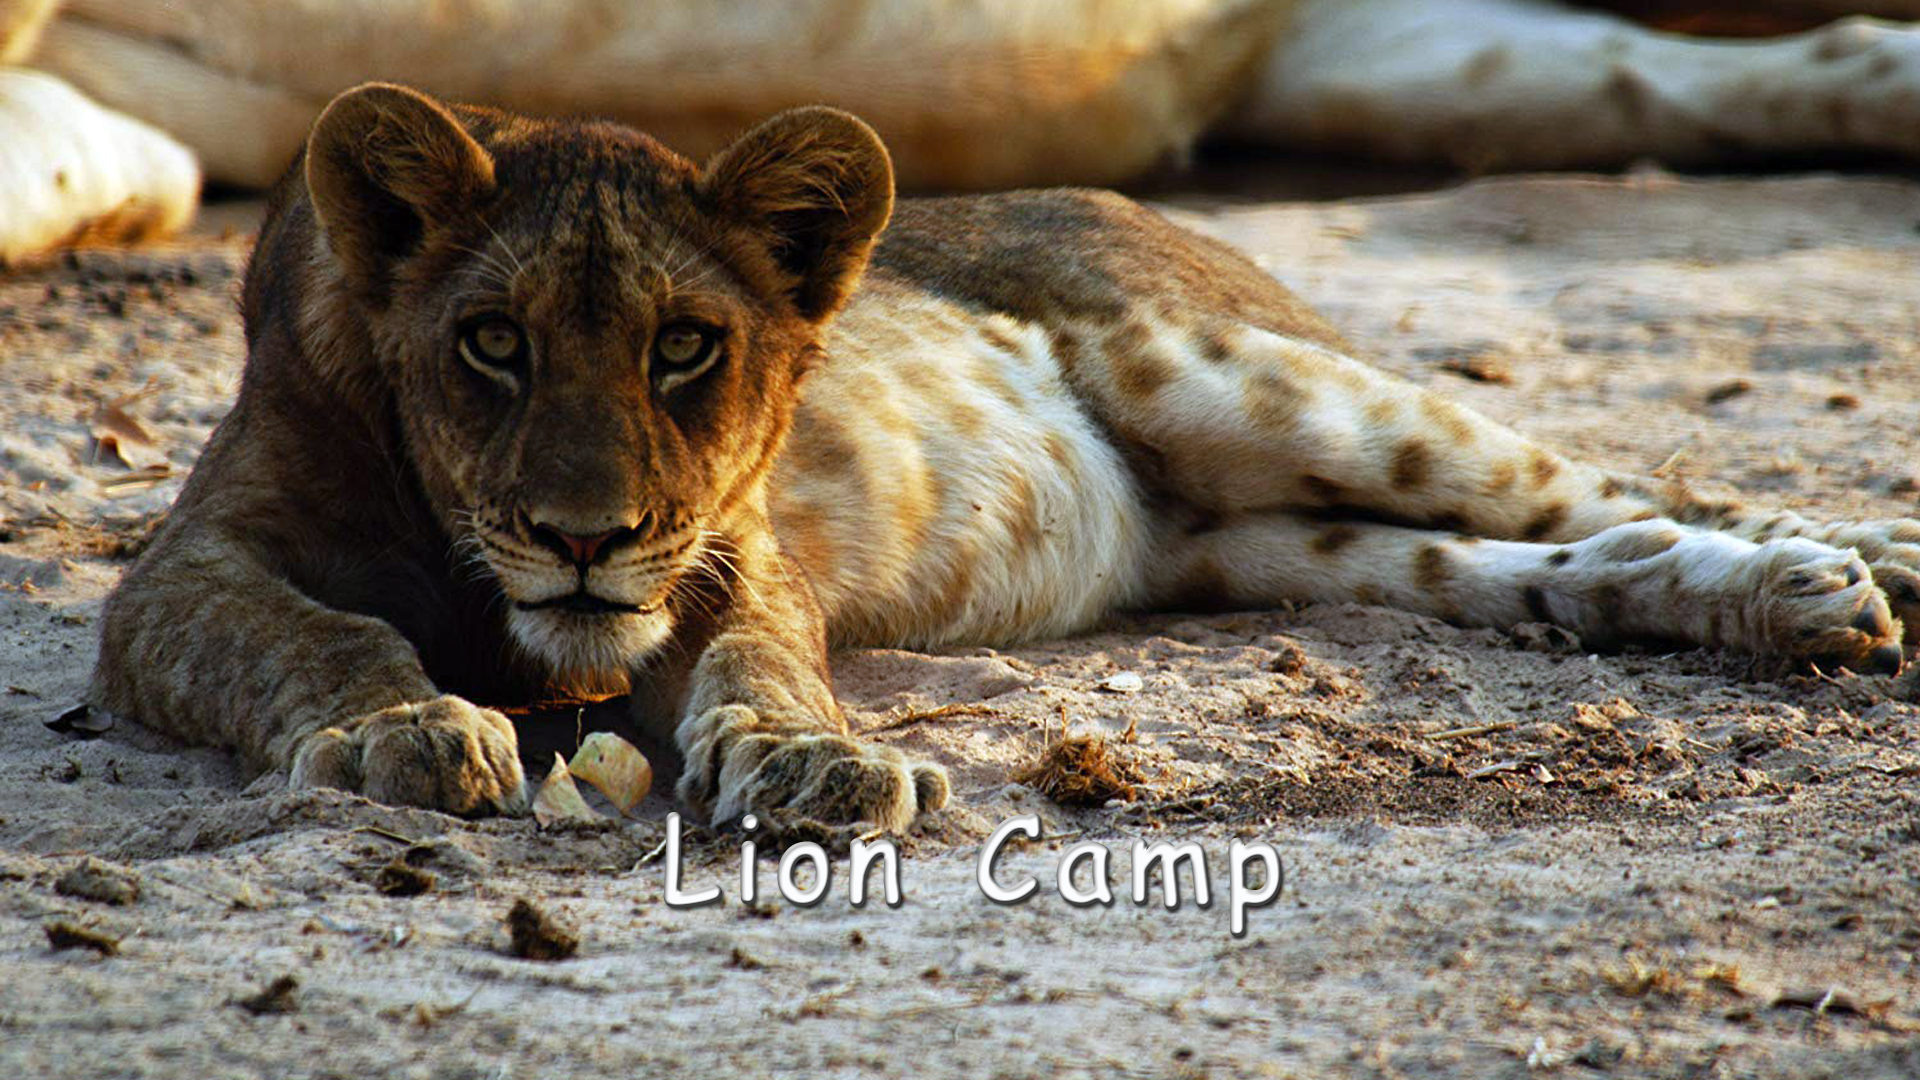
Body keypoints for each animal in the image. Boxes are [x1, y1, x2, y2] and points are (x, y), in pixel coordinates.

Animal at [90, 83, 1920, 829]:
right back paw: (1779, 601)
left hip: (1253, 386)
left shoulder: (735, 552)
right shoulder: (179, 576)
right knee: (1556, 565)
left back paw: (1836, 570)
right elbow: (317, 630)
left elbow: (761, 663)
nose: (585, 536)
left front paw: (815, 768)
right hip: (1283, 546)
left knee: (1592, 487)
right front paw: (406, 728)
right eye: (492, 344)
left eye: (686, 347)